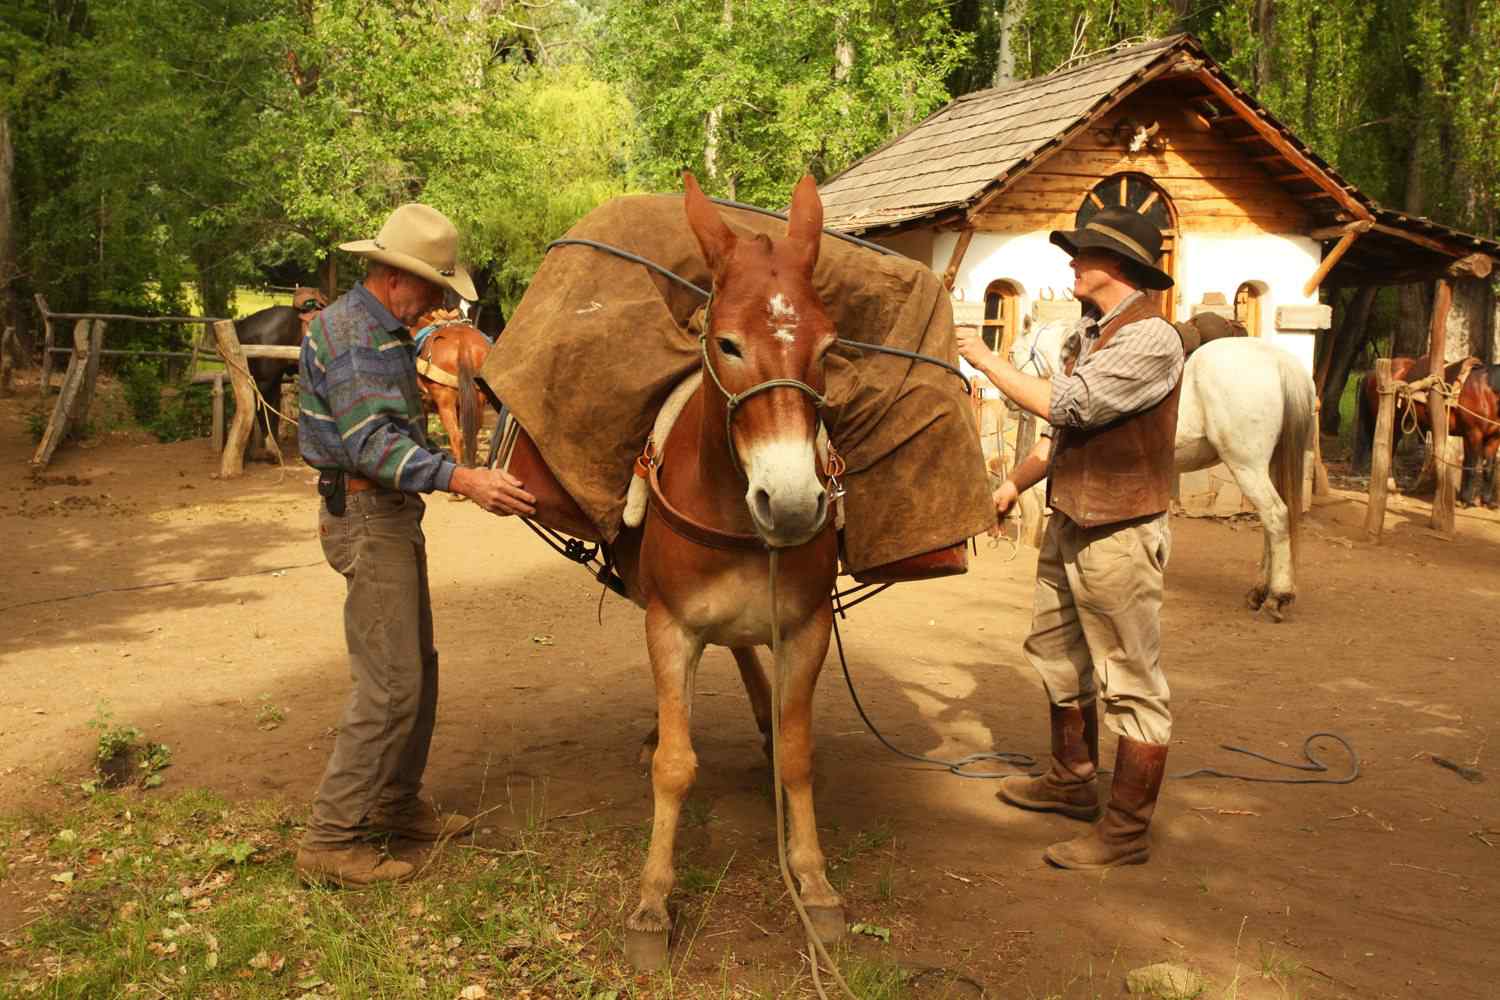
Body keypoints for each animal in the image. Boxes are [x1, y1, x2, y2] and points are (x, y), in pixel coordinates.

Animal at [412, 309, 491, 466]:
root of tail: (463, 341)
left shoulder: (422, 407)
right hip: (478, 402)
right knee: (471, 438)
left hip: (446, 404)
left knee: (456, 438)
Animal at [600, 173, 844, 970]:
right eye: (727, 343)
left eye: (829, 345)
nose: (792, 502)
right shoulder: (669, 626)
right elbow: (676, 765)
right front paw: (651, 902)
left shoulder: (806, 629)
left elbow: (798, 755)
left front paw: (814, 881)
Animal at [1014, 316, 1315, 621]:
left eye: (1013, 352)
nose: (1009, 402)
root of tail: (1279, 361)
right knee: (1271, 523)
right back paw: (1259, 592)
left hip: (1247, 467)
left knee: (1276, 516)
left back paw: (1276, 596)